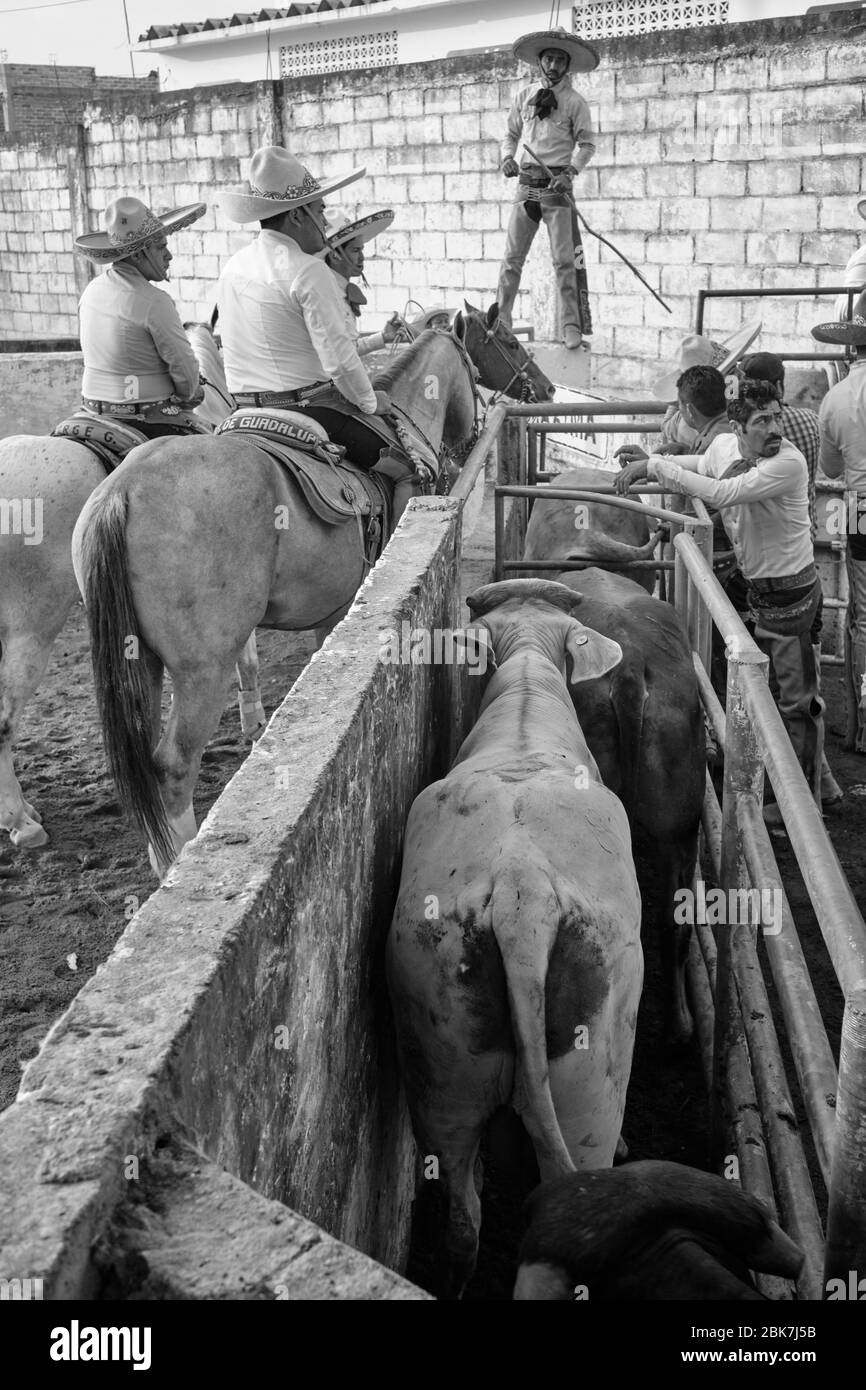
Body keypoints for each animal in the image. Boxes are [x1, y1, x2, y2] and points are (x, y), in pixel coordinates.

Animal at [71, 325, 480, 872]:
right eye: (477, 367)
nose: (467, 441)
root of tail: (124, 491)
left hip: (138, 658)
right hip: (202, 668)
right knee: (172, 766)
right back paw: (180, 858)